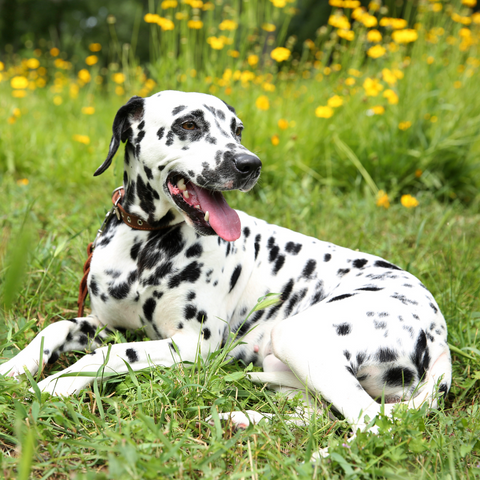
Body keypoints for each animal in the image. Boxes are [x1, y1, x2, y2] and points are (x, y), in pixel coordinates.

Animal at [0, 89, 452, 438]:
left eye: (237, 129)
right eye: (188, 124)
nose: (250, 164)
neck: (145, 245)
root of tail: (439, 336)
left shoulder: (190, 344)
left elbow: (109, 355)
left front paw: (57, 384)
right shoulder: (104, 323)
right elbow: (55, 328)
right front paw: (14, 367)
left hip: (298, 335)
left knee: (370, 420)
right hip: (283, 359)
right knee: (317, 414)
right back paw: (242, 418)